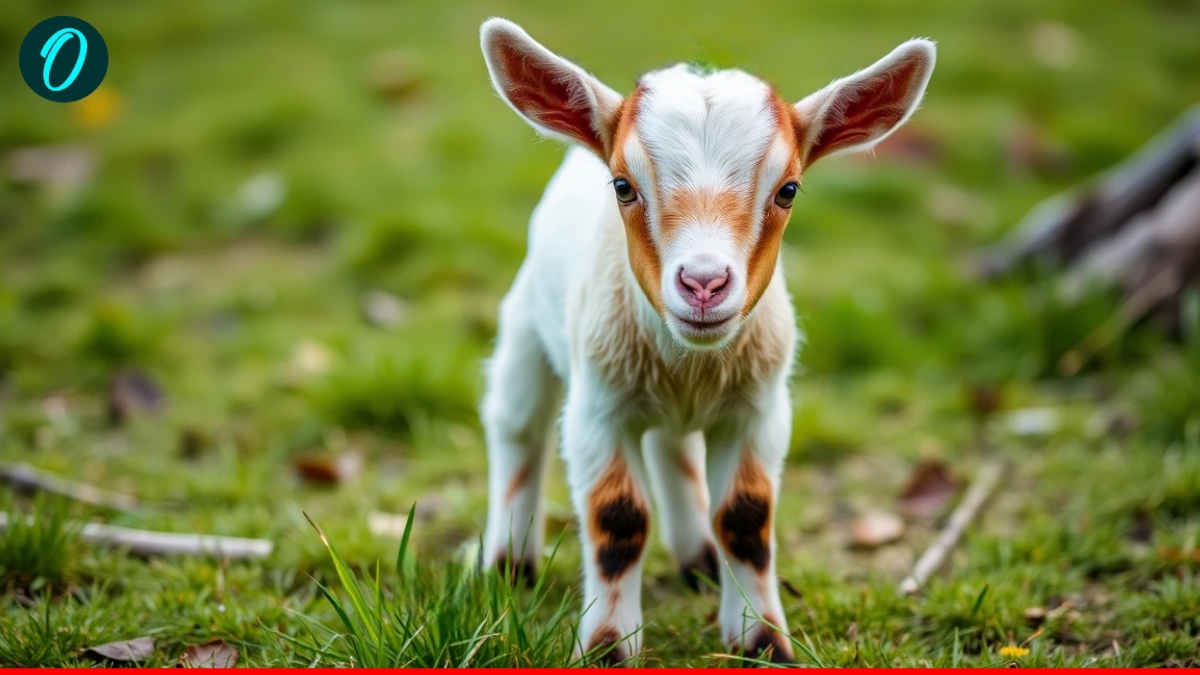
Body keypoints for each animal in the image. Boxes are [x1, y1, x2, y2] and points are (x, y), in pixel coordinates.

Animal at [478, 17, 935, 663]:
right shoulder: (597, 409)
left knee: (673, 450)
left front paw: (762, 640)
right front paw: (608, 648)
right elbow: (618, 519)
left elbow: (745, 518)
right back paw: (509, 565)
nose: (702, 283)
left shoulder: (759, 409)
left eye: (788, 190)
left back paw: (698, 561)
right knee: (516, 425)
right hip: (524, 324)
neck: (687, 362)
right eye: (622, 185)